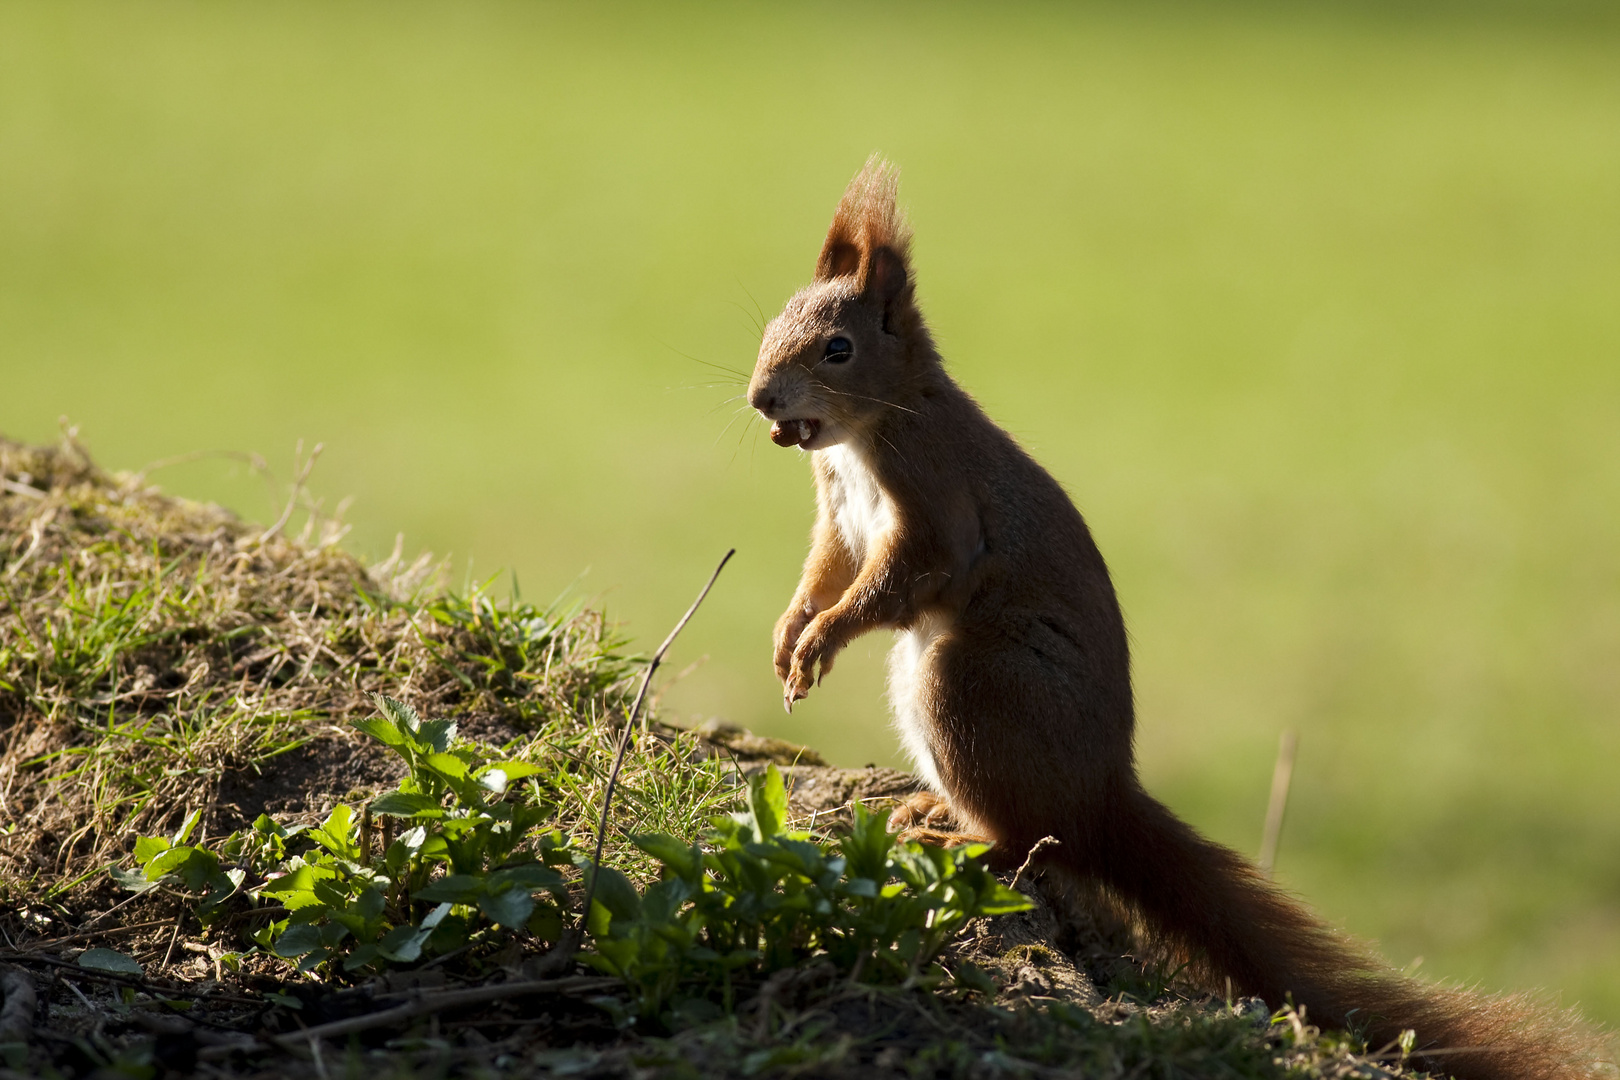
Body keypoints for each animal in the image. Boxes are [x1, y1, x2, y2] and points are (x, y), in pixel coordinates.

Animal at [745, 156, 1607, 1080]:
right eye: (770, 323)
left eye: (838, 348)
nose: (761, 399)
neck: (868, 429)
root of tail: (1104, 797)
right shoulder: (838, 515)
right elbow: (825, 572)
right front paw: (790, 635)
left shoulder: (936, 500)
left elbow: (899, 579)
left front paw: (821, 640)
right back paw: (932, 810)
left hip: (966, 683)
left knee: (1032, 841)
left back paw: (957, 835)